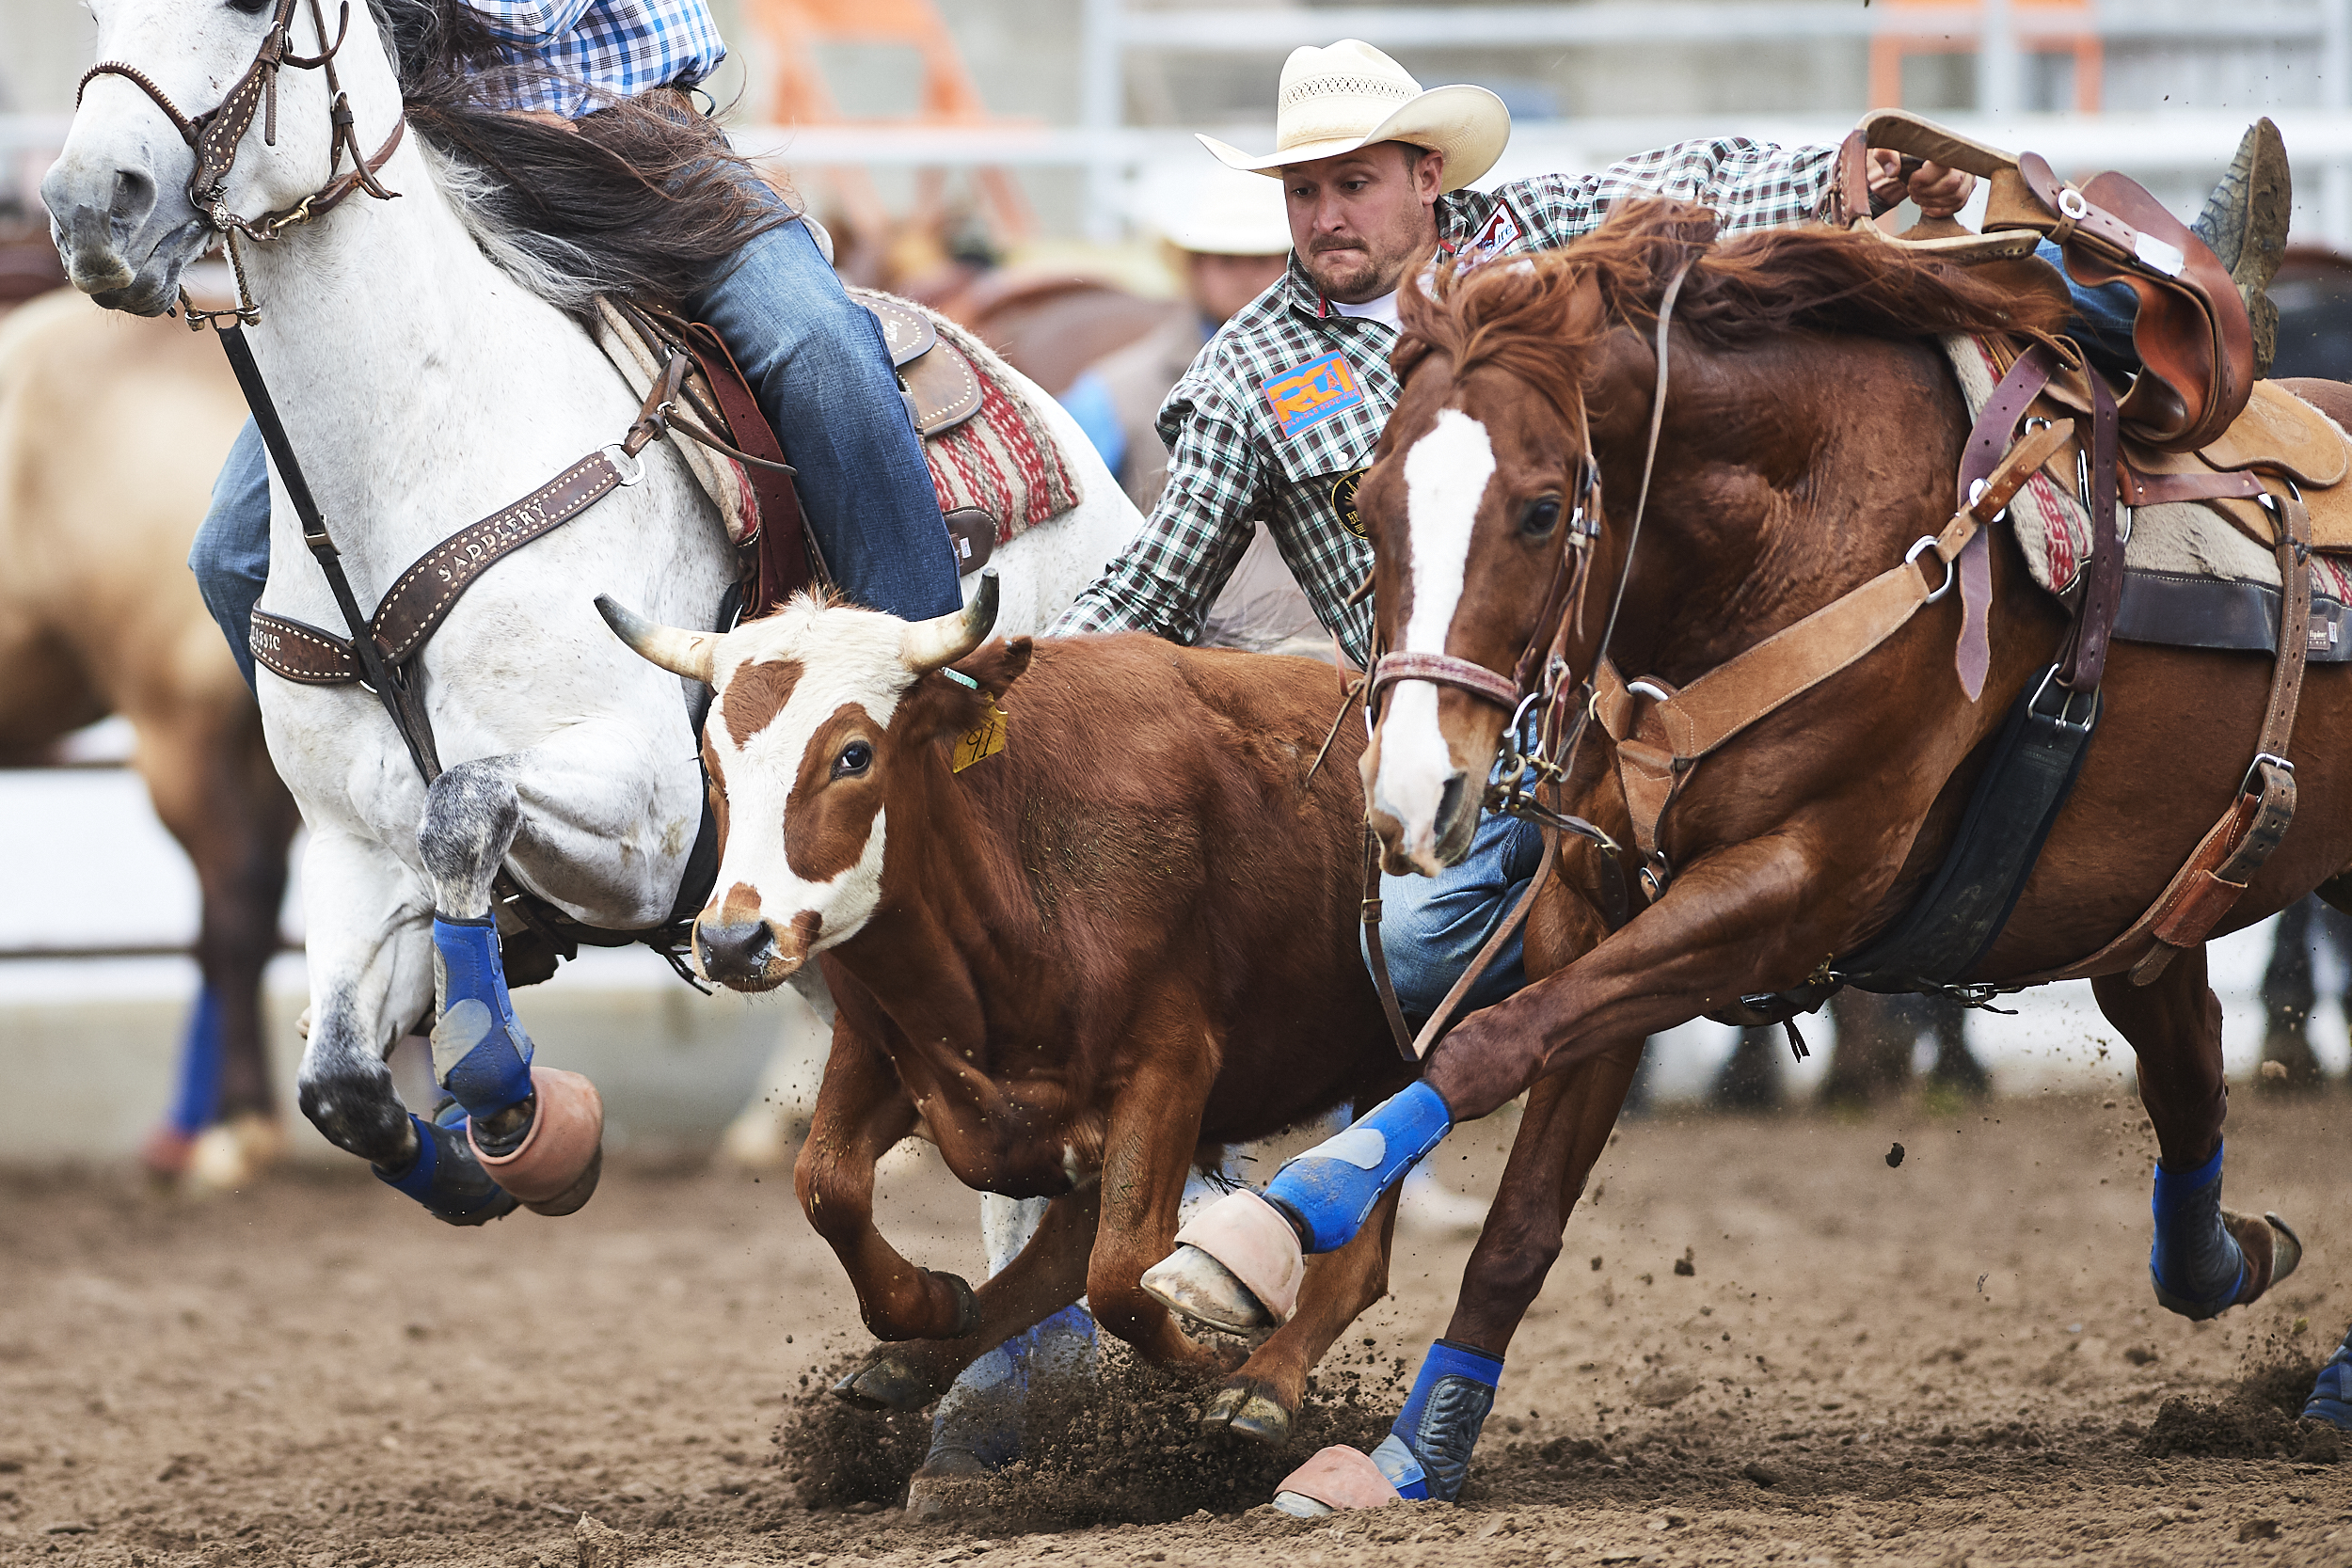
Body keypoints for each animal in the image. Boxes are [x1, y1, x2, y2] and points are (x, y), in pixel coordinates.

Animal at [37, 0, 1134, 1222]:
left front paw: (500, 1088)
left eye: (245, 11)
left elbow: (463, 802)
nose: (91, 204)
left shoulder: (652, 818)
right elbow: (344, 1085)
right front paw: (474, 1153)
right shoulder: (352, 848)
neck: (421, 454)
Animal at [1162, 201, 2352, 1513]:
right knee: (2186, 1063)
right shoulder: (1595, 905)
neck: (1804, 535)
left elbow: (1484, 1043)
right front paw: (1415, 1448)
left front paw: (1270, 1219)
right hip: (2145, 907)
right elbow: (1521, 1199)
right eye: (1364, 505)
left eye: (1540, 508)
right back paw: (2229, 1262)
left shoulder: (1781, 892)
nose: (1414, 791)